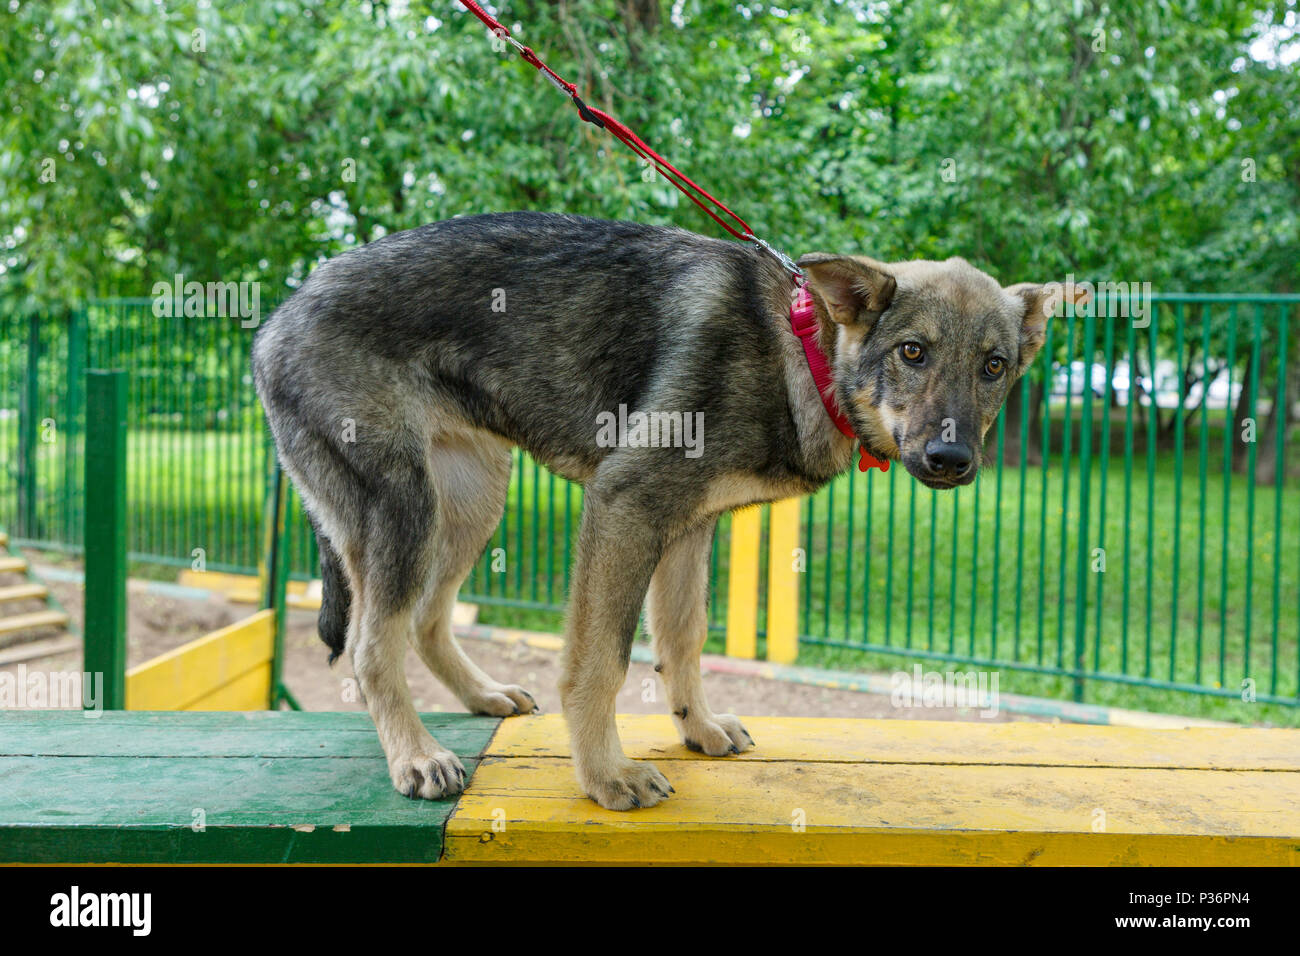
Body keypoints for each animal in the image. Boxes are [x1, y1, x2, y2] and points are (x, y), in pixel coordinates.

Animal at [250, 213, 1076, 811]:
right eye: (912, 352)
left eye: (994, 368)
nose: (952, 460)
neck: (800, 349)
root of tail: (274, 320)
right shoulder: (627, 505)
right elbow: (601, 662)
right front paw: (604, 775)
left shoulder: (687, 527)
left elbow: (682, 638)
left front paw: (697, 728)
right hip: (404, 507)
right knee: (371, 644)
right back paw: (417, 754)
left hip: (472, 500)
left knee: (423, 619)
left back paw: (481, 696)